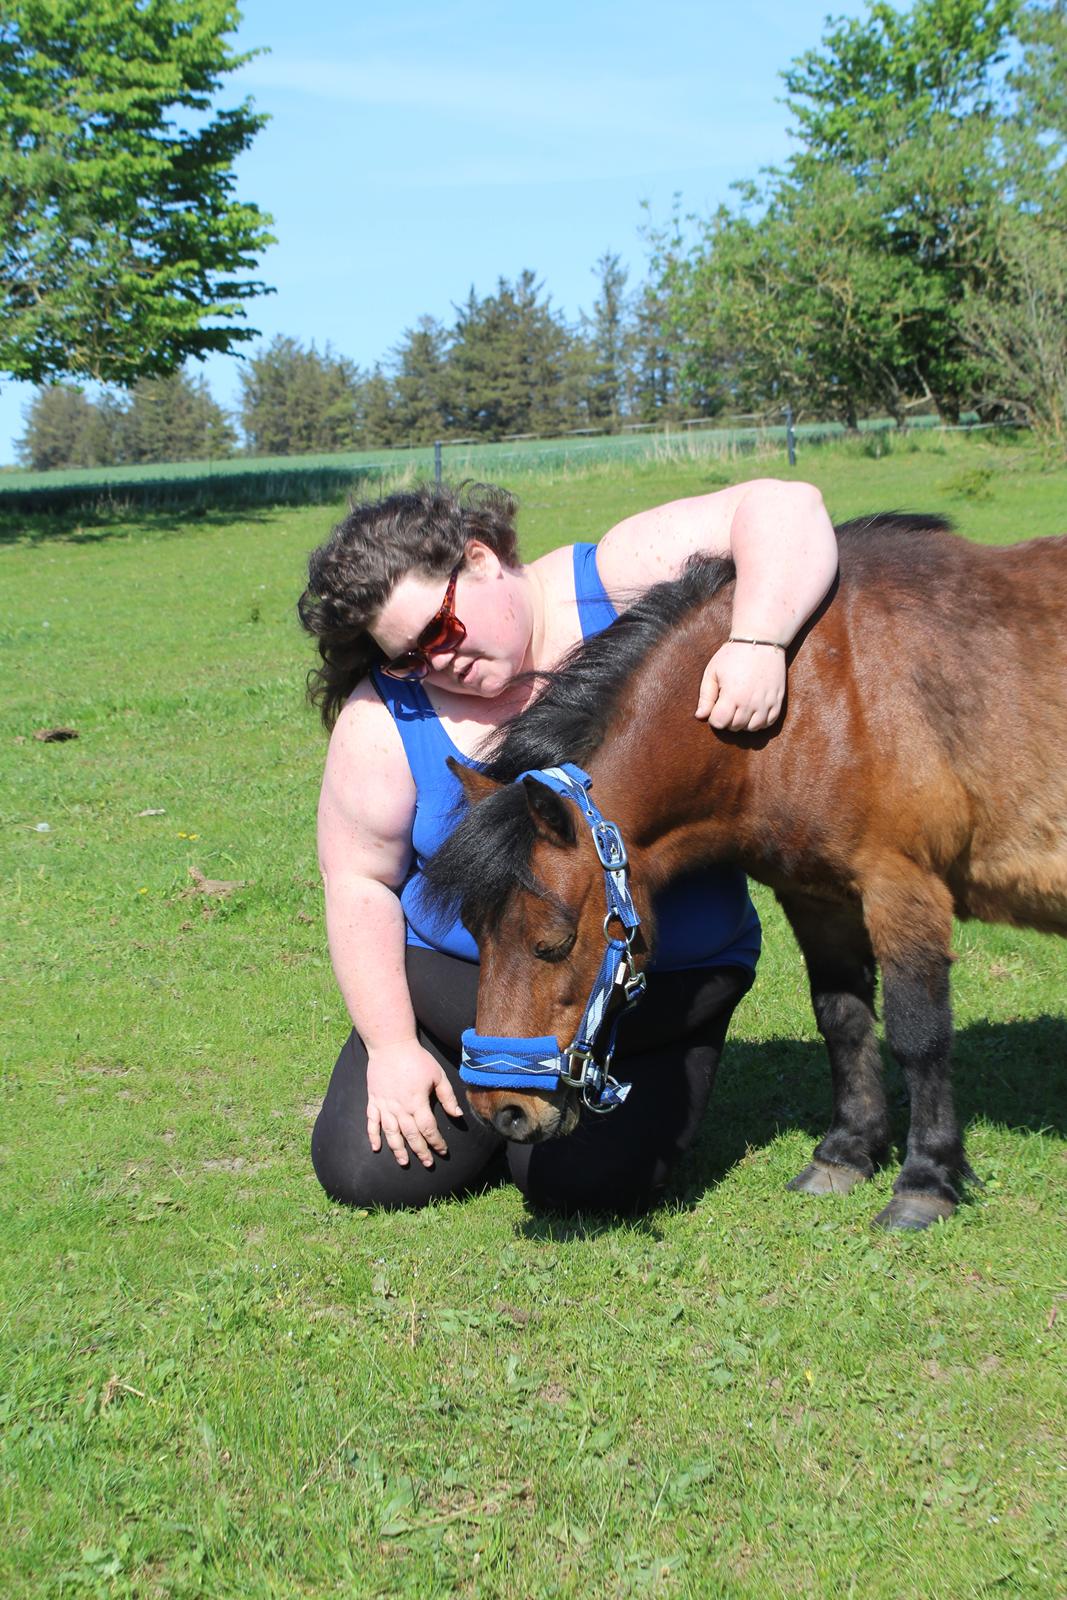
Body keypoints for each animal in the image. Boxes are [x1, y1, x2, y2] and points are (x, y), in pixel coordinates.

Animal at [425, 518, 1067, 1228]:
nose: (502, 1111)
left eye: (553, 944)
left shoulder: (903, 888)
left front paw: (924, 1181)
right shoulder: (817, 897)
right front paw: (845, 1155)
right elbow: (842, 1019)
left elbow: (917, 1035)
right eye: (476, 937)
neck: (815, 694)